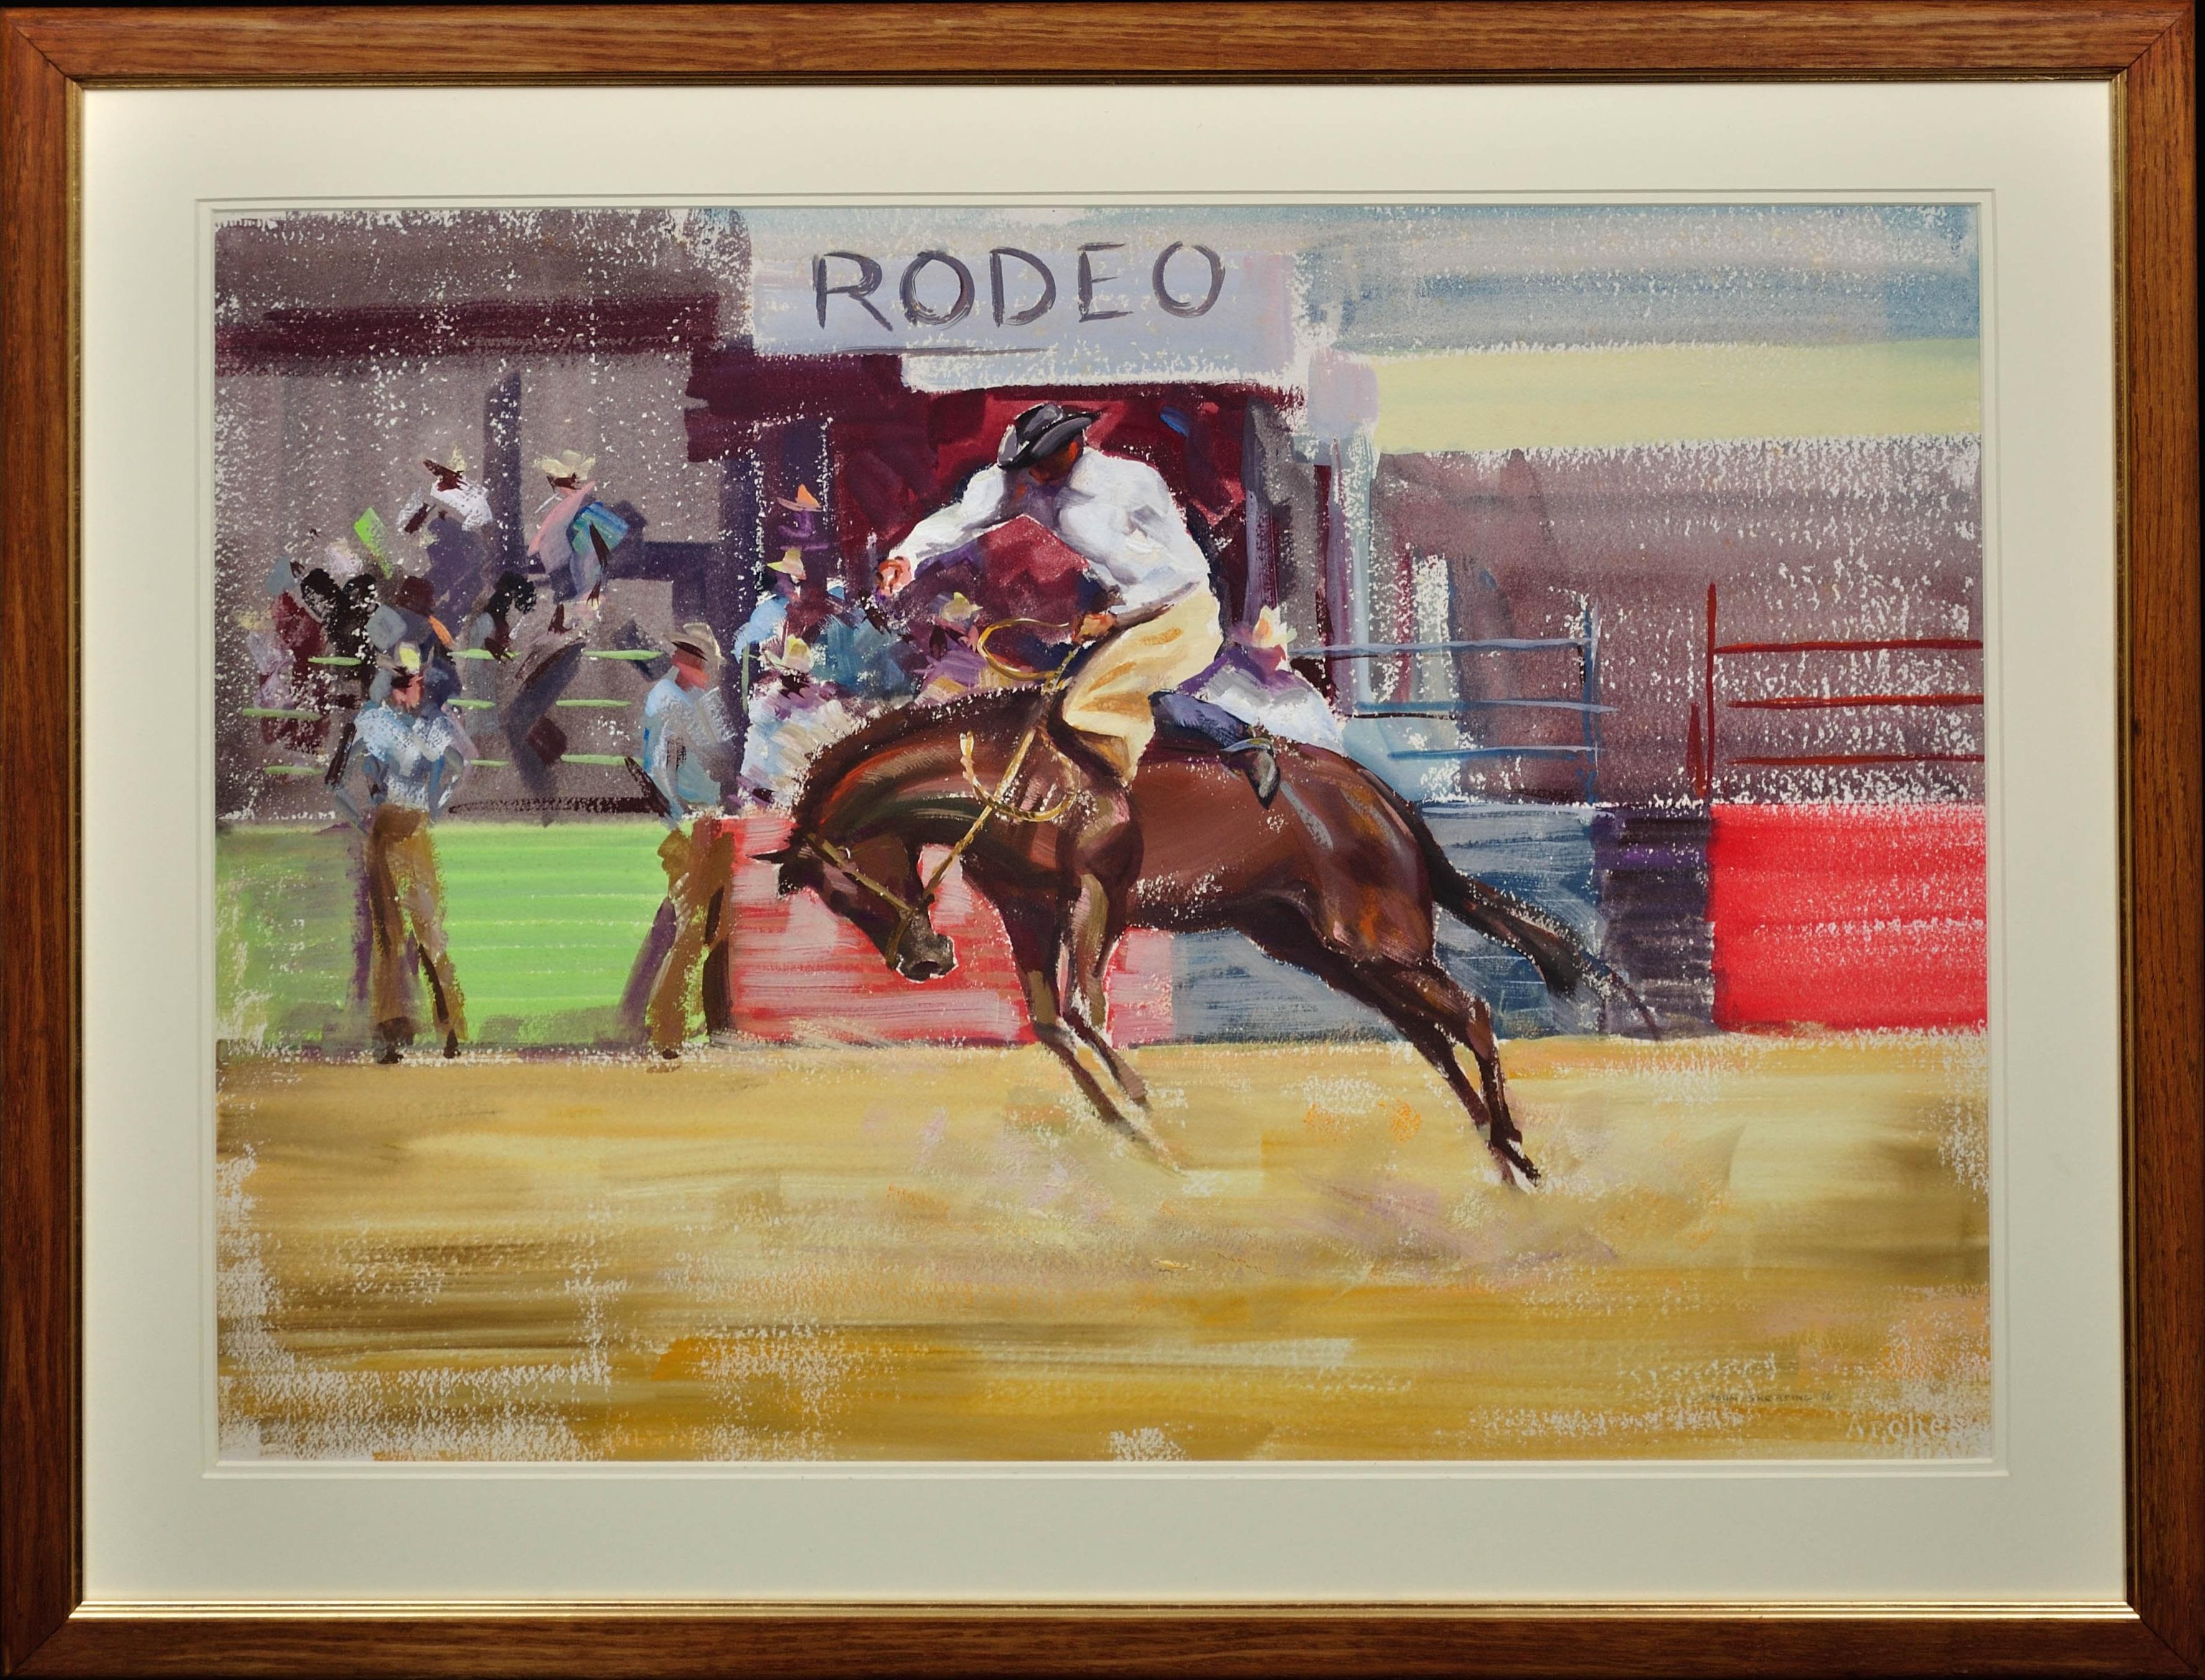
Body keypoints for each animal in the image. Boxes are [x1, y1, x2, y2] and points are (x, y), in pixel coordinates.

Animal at [758, 678, 1640, 1181]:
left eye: (847, 885)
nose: (925, 958)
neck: (1012, 775)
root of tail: (1380, 796)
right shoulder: (1026, 909)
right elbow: (1048, 1020)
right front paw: (1126, 1124)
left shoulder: (1093, 897)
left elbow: (1082, 1008)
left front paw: (1145, 1109)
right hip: (1315, 945)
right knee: (1429, 1033)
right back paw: (1499, 1150)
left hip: (1377, 939)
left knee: (1471, 1014)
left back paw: (1514, 1144)